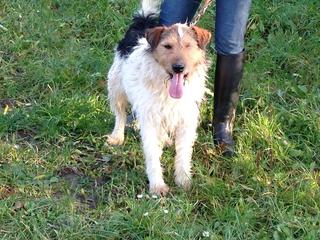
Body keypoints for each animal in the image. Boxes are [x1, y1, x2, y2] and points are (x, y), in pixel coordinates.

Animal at [107, 0, 211, 195]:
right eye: (167, 46)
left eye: (188, 46)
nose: (178, 67)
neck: (166, 85)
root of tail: (143, 22)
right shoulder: (150, 120)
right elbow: (152, 154)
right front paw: (157, 185)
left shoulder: (186, 119)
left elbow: (183, 153)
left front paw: (183, 180)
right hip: (116, 87)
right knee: (120, 114)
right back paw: (117, 136)